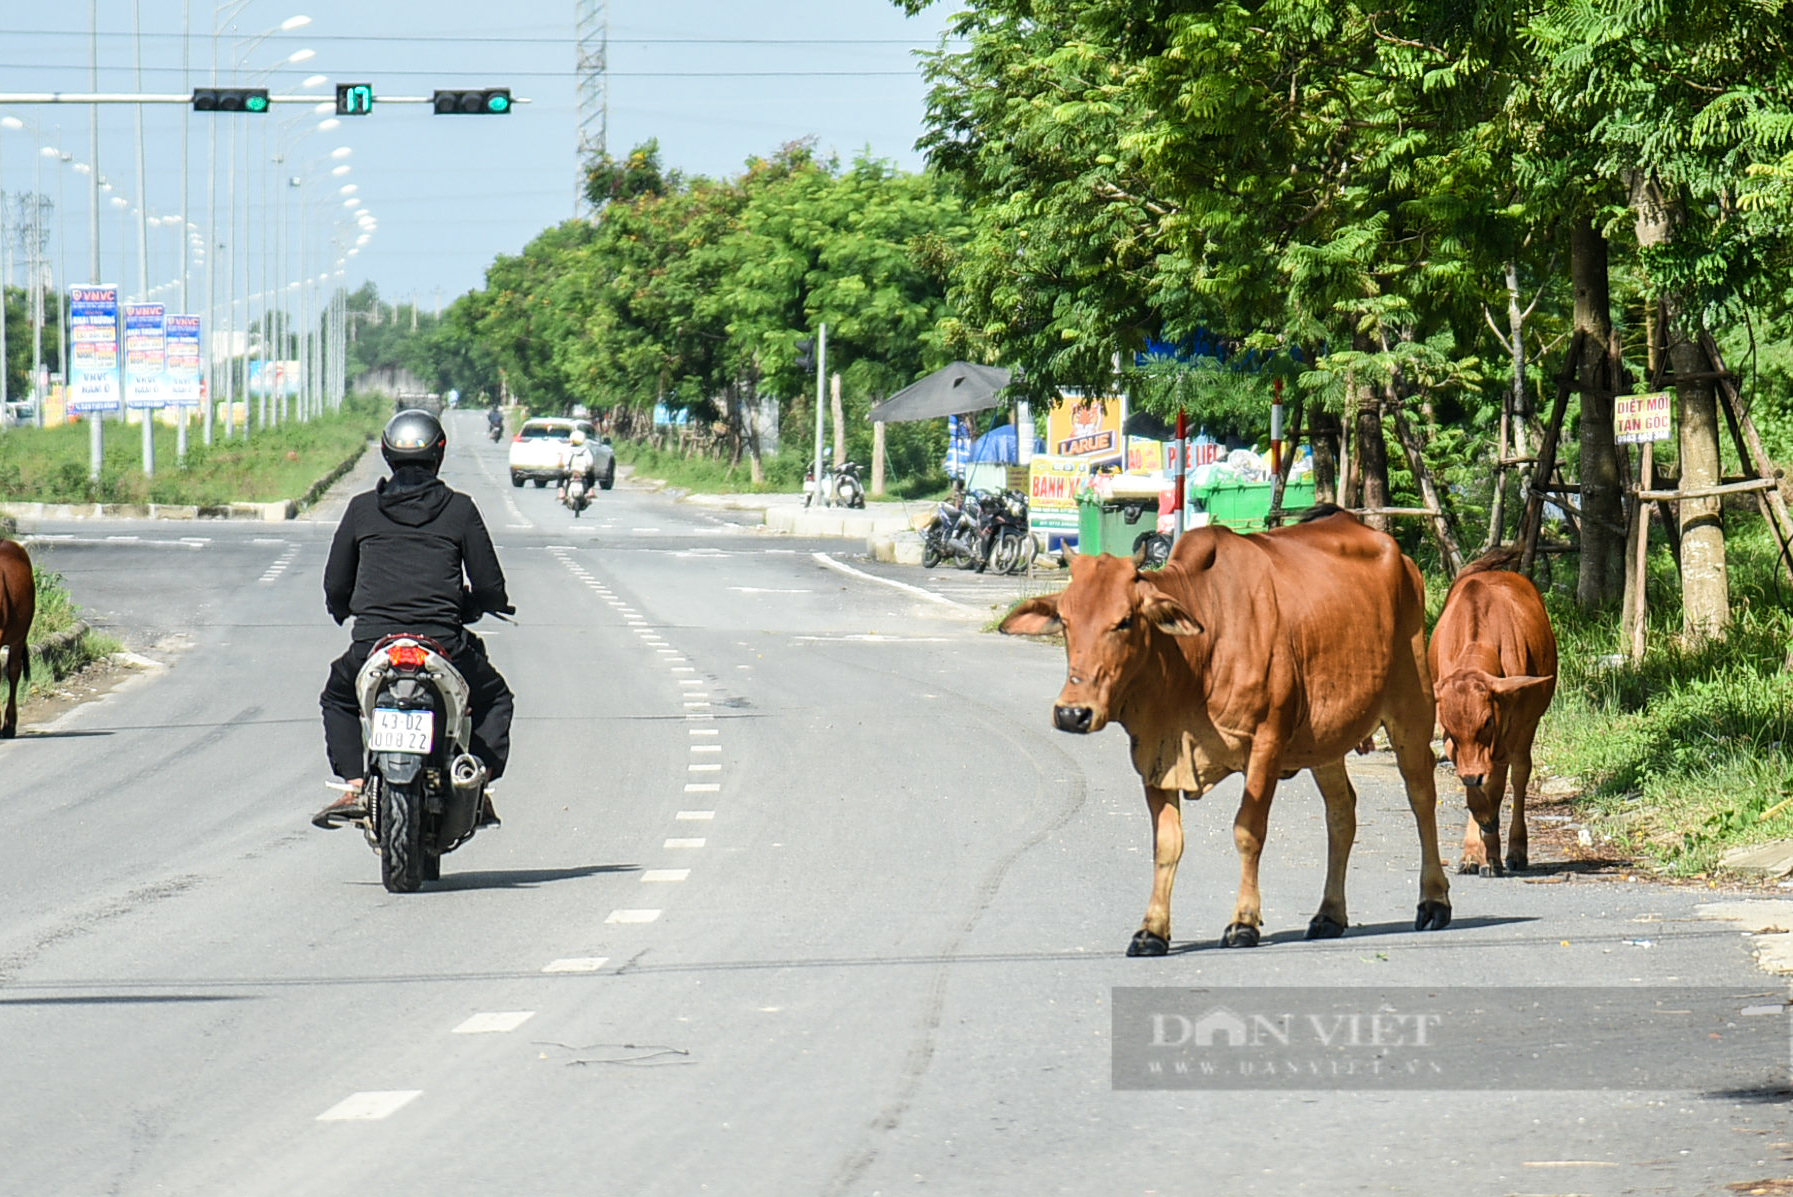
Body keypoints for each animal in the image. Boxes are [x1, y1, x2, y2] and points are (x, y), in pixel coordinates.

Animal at [1004, 508, 1448, 960]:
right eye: (1065, 621)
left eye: (1125, 620)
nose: (1073, 713)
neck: (1191, 661)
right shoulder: (1156, 756)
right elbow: (1166, 843)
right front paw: (1151, 931)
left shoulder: (1267, 741)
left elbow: (1248, 832)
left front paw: (1243, 922)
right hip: (1325, 740)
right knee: (1342, 812)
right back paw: (1329, 914)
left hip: (1411, 710)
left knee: (1421, 796)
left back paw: (1433, 902)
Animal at [1427, 548, 1556, 870]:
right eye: (1448, 725)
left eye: (1487, 722)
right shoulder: (1453, 743)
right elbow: (1473, 788)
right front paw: (1477, 849)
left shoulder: (1508, 729)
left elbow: (1497, 784)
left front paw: (1493, 850)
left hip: (1529, 723)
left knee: (1520, 773)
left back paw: (1516, 851)